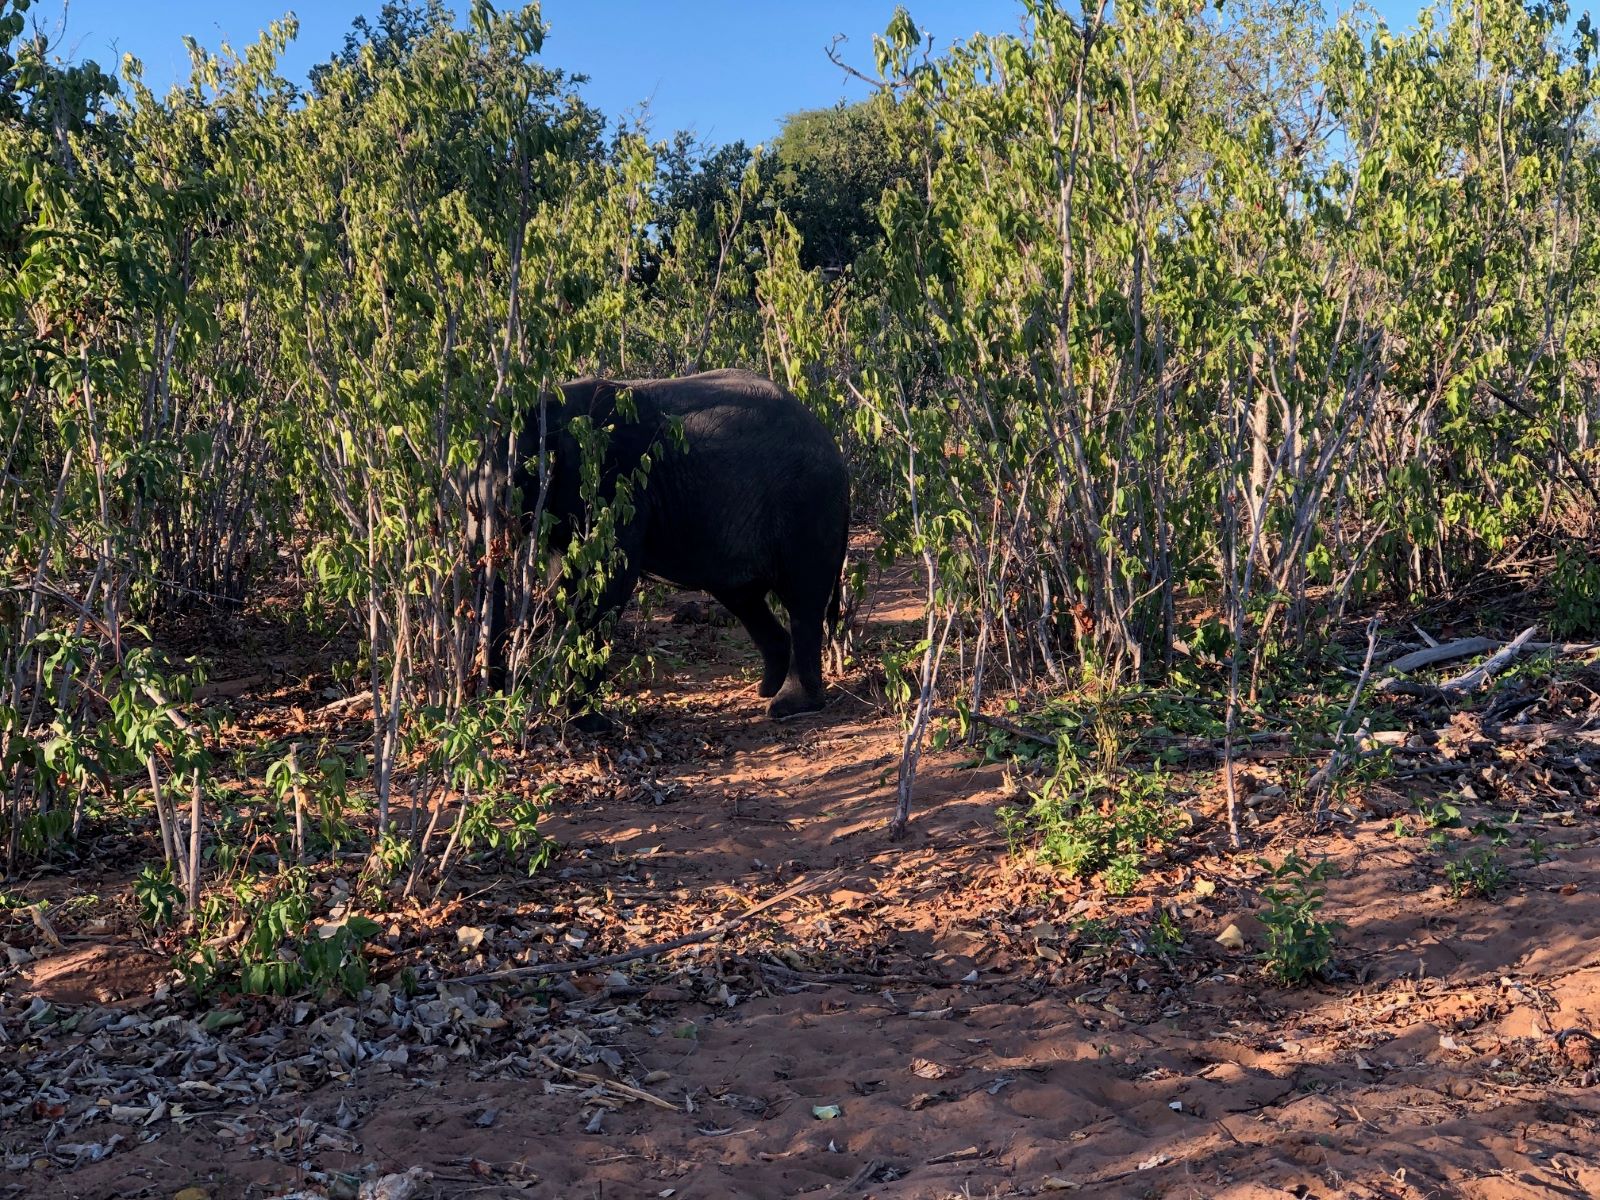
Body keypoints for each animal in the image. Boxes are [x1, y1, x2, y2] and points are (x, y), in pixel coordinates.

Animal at [470, 366, 851, 729]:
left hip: (807, 505)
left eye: (511, 486)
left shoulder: (611, 482)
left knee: (802, 598)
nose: (496, 697)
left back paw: (790, 706)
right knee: (744, 598)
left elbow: (608, 580)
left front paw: (589, 723)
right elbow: (563, 586)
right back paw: (766, 689)